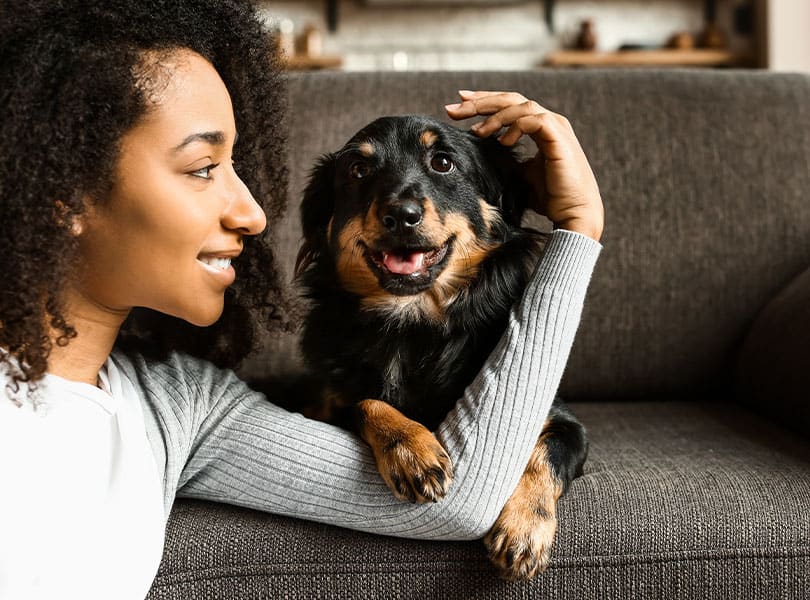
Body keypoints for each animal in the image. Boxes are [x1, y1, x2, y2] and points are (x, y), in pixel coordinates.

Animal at [290, 115, 588, 580]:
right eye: (358, 170)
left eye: (443, 163)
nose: (401, 215)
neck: (412, 324)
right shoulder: (324, 402)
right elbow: (365, 402)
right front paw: (411, 449)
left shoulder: (563, 421)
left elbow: (545, 455)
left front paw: (523, 529)